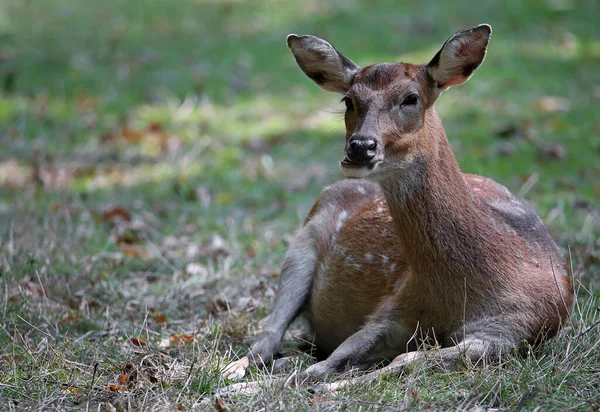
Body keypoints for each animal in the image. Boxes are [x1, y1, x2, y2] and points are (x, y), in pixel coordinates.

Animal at [220, 24, 572, 392]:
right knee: (268, 337)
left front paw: (332, 386)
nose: (360, 147)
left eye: (411, 98)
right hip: (302, 244)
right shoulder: (392, 308)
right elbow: (326, 365)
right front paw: (246, 388)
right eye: (348, 100)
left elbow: (407, 360)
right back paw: (232, 371)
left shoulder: (512, 330)